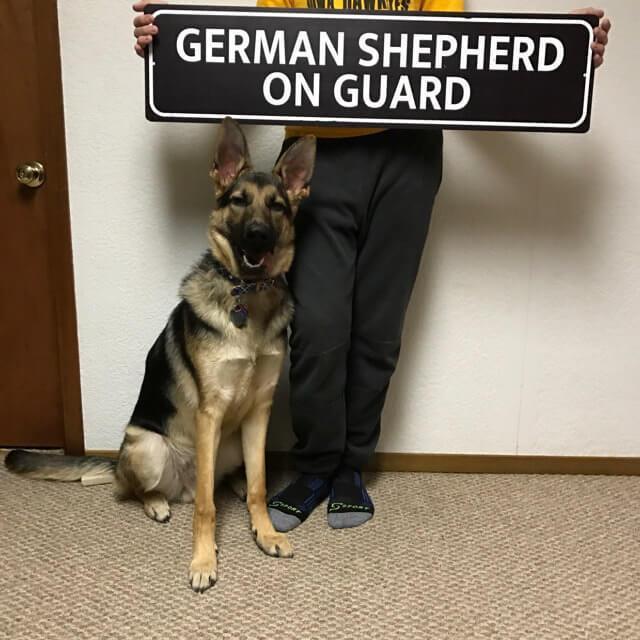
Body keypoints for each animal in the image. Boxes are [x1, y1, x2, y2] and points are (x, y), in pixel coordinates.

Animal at [5, 117, 316, 592]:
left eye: (277, 207)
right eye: (239, 201)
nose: (258, 237)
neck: (247, 297)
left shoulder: (258, 411)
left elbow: (261, 484)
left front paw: (264, 531)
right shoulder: (210, 411)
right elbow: (206, 507)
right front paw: (204, 559)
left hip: (230, 441)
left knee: (229, 477)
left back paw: (235, 485)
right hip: (147, 447)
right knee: (139, 488)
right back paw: (156, 503)